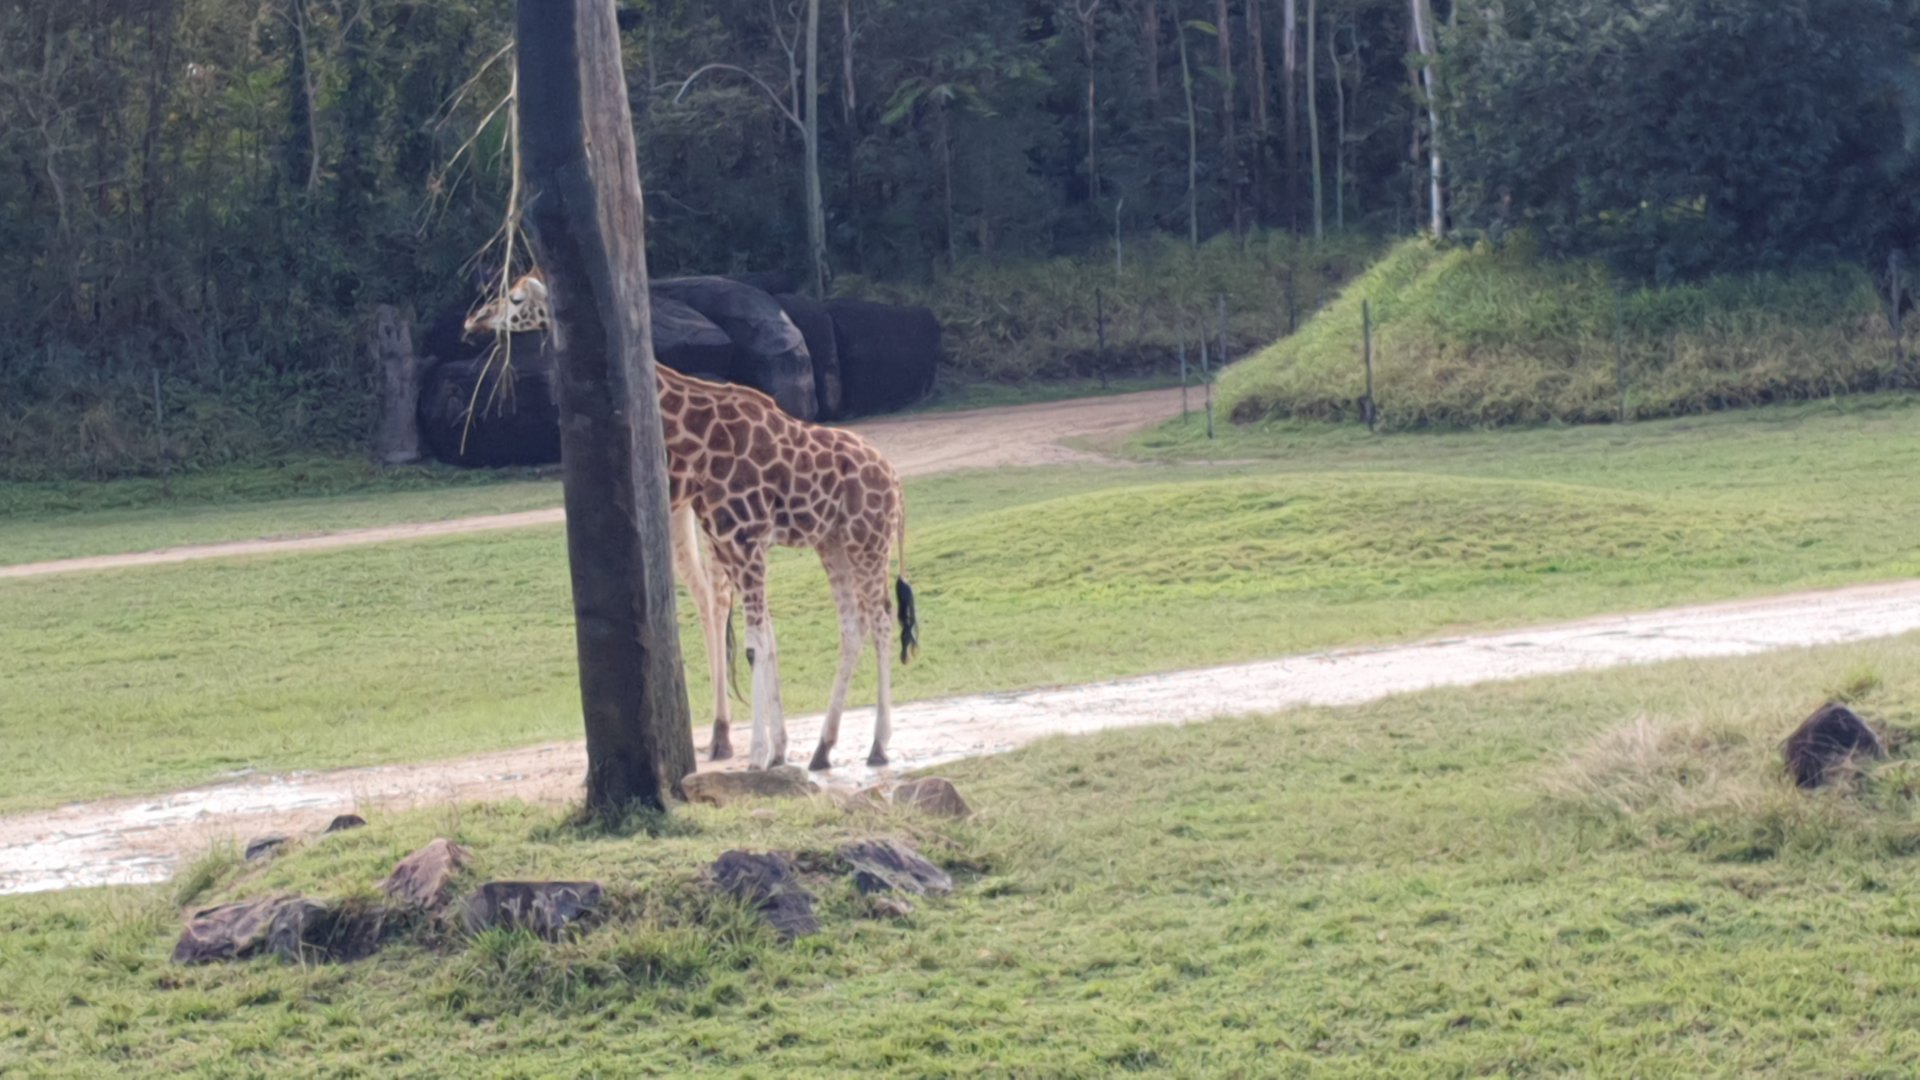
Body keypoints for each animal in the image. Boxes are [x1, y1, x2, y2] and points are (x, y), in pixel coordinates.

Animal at [464, 271, 919, 771]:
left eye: (515, 297)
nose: (474, 321)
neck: (701, 438)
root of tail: (896, 483)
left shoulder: (743, 541)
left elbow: (755, 641)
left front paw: (758, 755)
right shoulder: (733, 541)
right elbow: (763, 637)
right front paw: (775, 750)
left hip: (866, 542)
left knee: (880, 620)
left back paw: (876, 746)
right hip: (832, 544)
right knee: (852, 626)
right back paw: (821, 749)